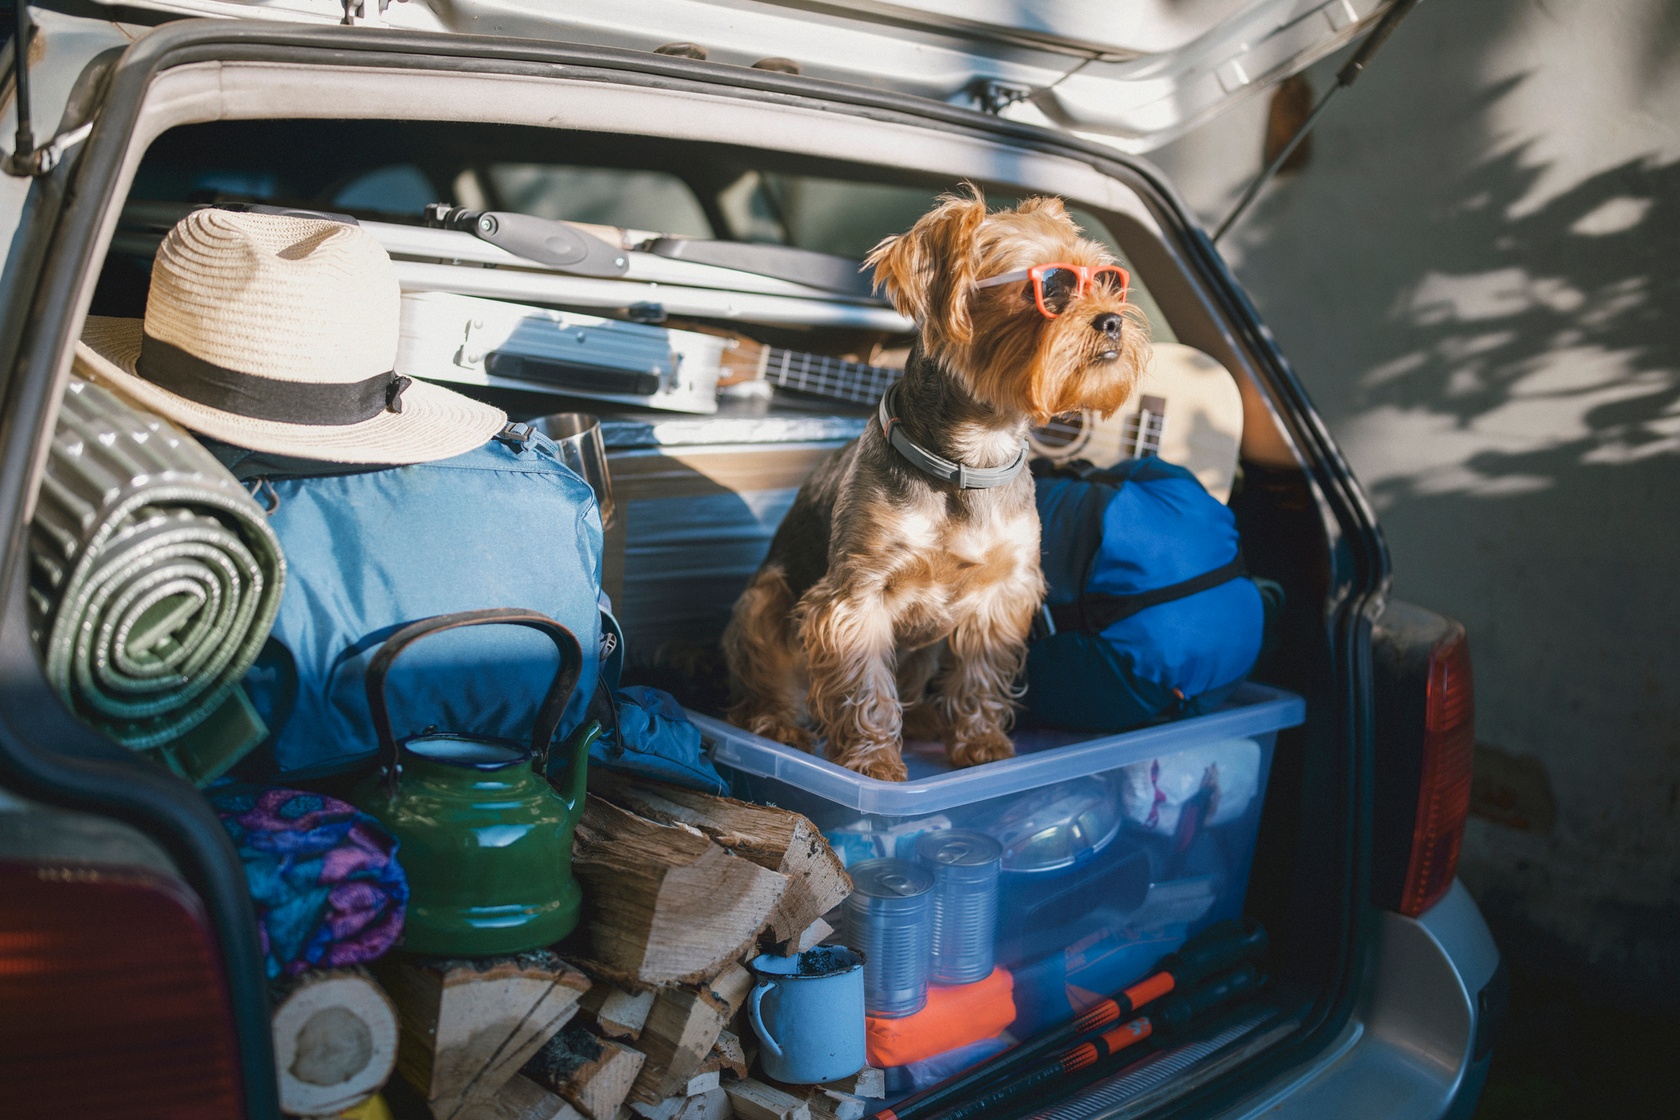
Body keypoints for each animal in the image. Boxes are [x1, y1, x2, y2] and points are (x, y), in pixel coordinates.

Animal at [715, 188, 1149, 779]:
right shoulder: (857, 595)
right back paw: (778, 722)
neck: (973, 457)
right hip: (764, 600)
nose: (1112, 321)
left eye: (1108, 281)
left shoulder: (1001, 591)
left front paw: (981, 741)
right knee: (765, 684)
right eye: (1050, 286)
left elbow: (981, 673)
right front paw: (872, 761)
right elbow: (865, 685)